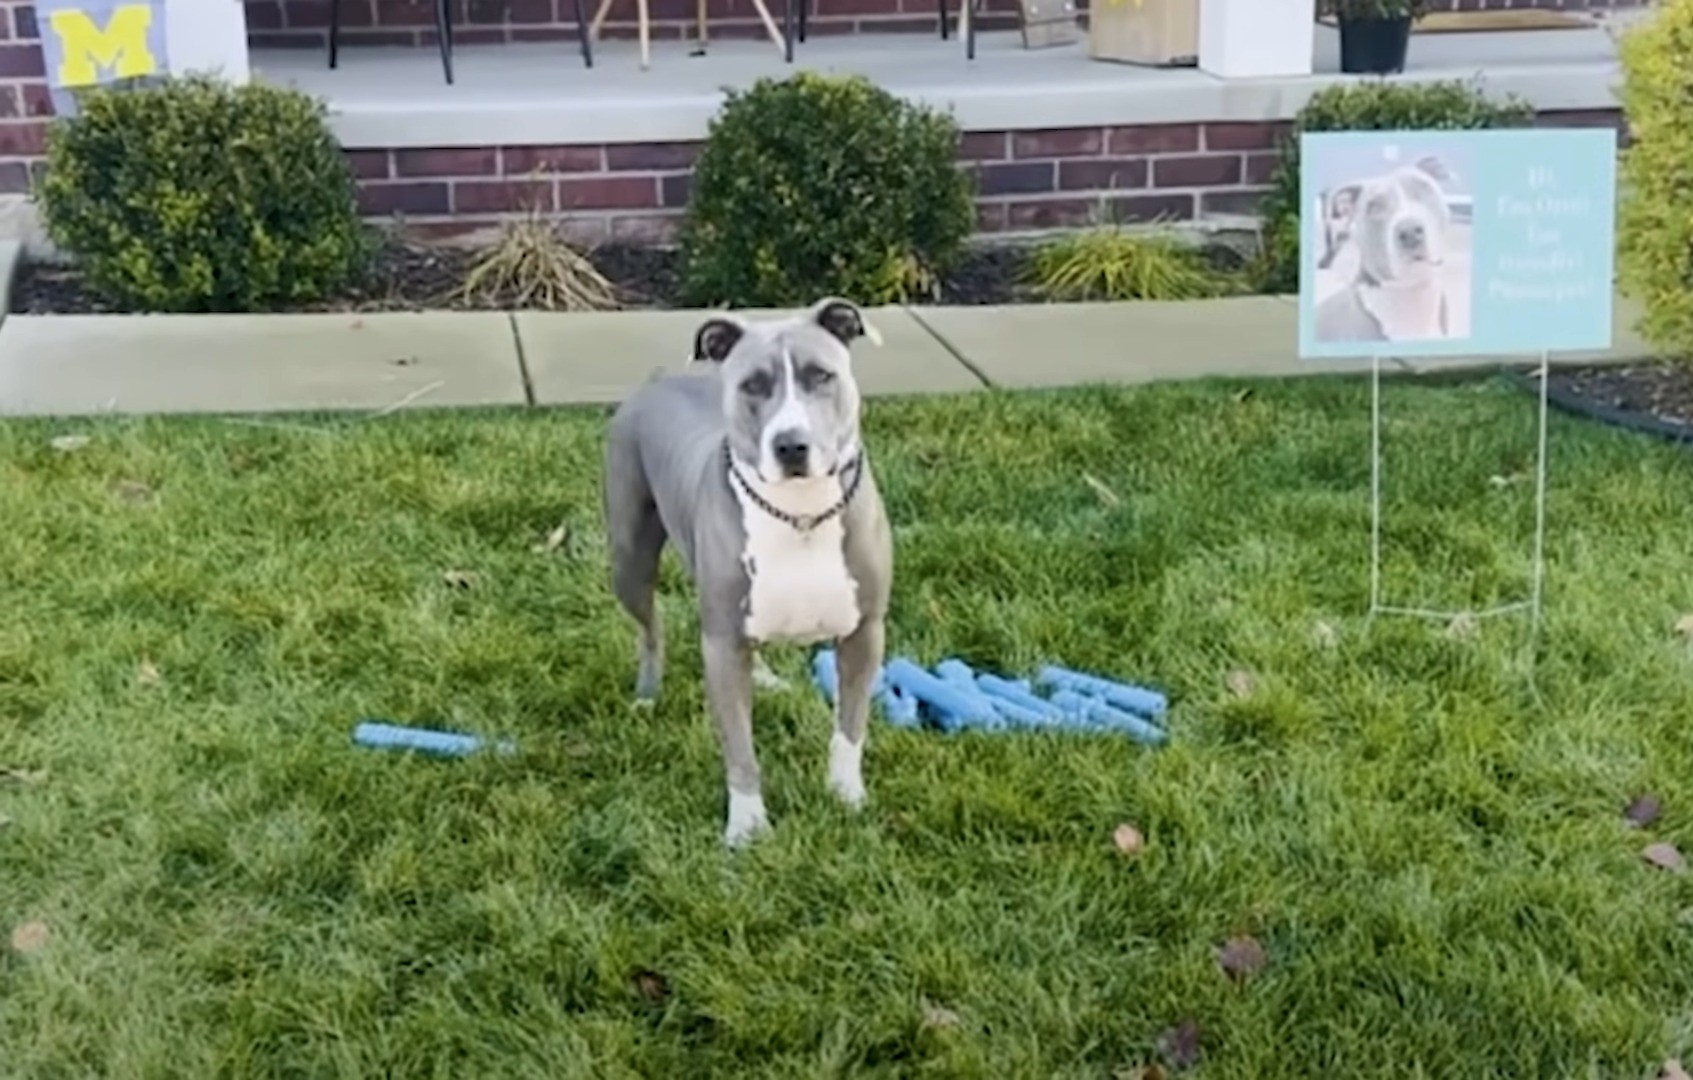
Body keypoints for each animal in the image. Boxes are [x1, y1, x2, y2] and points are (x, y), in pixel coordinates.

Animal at [599, 301, 893, 849]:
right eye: (752, 384)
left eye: (821, 375)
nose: (791, 445)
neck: (800, 514)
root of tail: (658, 379)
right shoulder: (720, 644)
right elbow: (739, 747)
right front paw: (748, 826)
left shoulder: (865, 633)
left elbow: (850, 726)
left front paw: (847, 795)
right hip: (629, 560)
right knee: (649, 628)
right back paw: (647, 695)